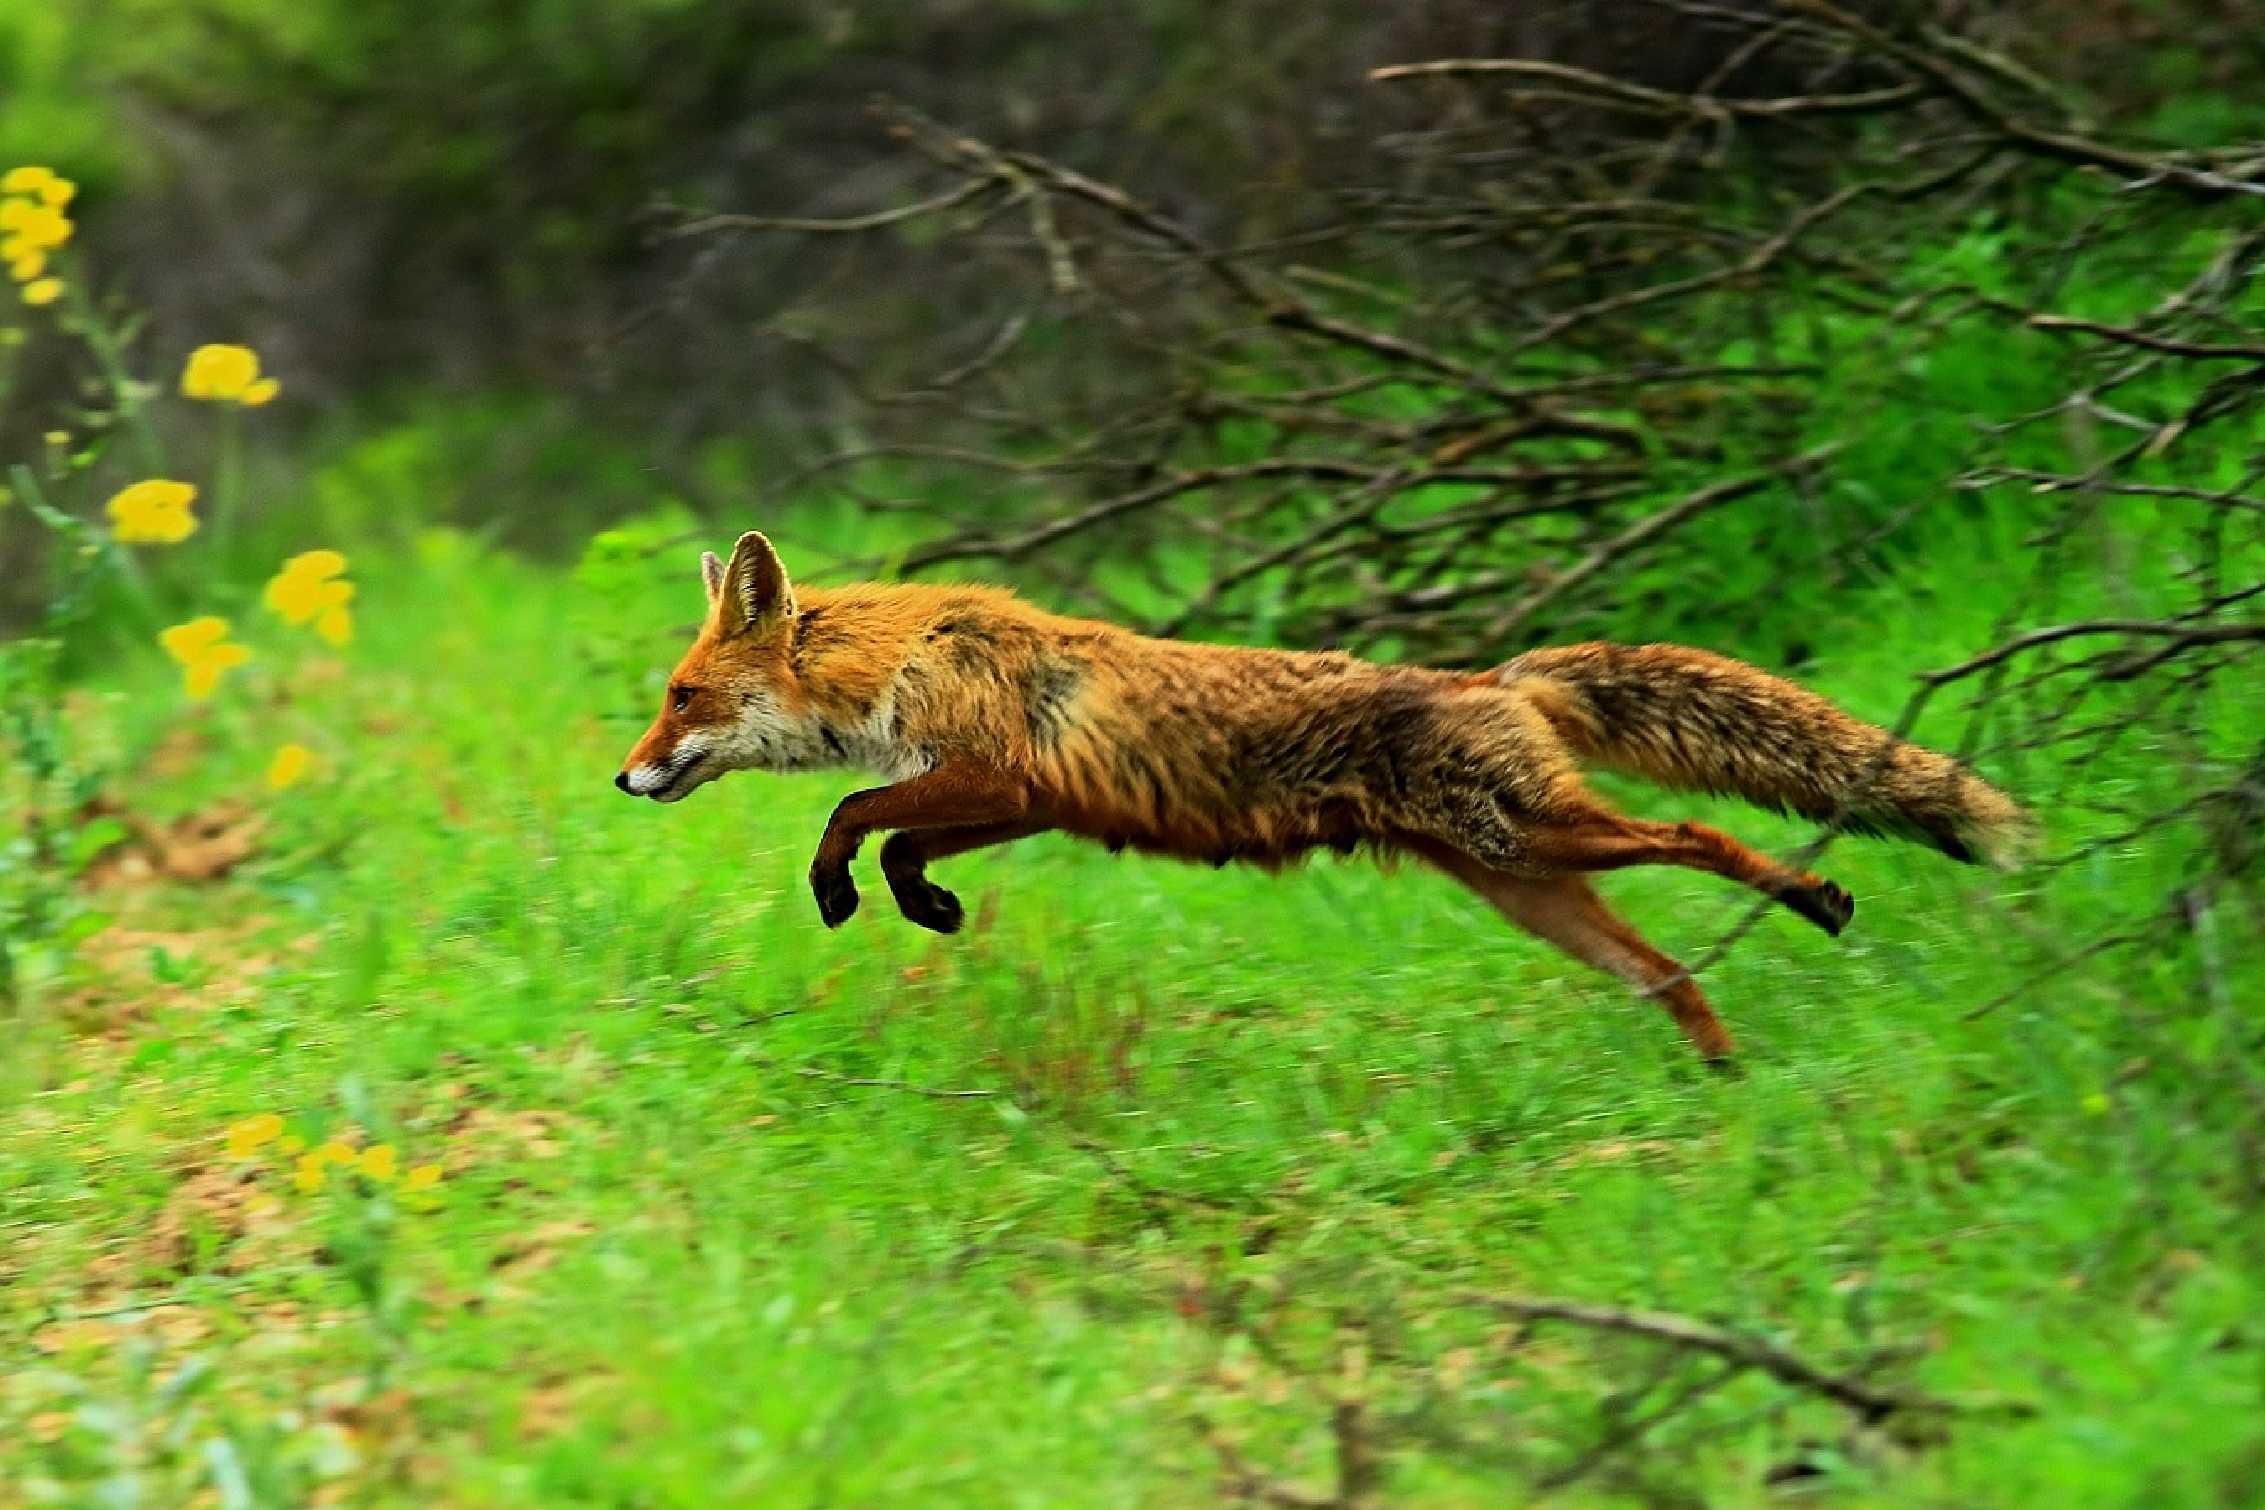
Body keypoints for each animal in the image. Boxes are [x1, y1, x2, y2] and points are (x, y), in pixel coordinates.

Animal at [611, 532, 2029, 1064]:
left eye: (679, 695)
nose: (622, 777)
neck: (909, 657)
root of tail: (1496, 677)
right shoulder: (1036, 799)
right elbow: (902, 835)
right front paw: (931, 908)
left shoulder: (1003, 772)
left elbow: (847, 816)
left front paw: (845, 892)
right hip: (1530, 883)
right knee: (1668, 968)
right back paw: (1731, 1085)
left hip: (1546, 835)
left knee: (1704, 833)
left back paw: (1817, 897)